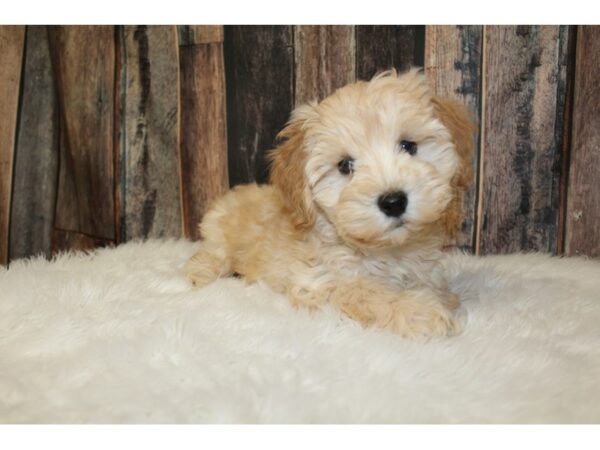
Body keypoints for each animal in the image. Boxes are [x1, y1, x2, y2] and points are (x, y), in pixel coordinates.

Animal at [185, 69, 476, 338]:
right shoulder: (318, 282)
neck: (389, 250)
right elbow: (366, 291)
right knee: (210, 254)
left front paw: (442, 298)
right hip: (218, 235)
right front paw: (419, 311)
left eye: (409, 146)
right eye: (345, 165)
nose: (393, 202)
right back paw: (201, 272)